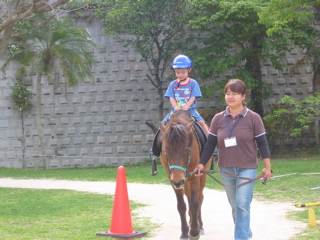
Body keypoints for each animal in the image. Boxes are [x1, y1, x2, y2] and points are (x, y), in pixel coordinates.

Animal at [159, 110, 211, 240]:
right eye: (166, 150)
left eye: (187, 150)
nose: (178, 181)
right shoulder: (172, 179)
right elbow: (181, 205)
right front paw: (184, 232)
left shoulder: (194, 176)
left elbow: (195, 203)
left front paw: (194, 231)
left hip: (201, 176)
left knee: (200, 197)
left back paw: (199, 225)